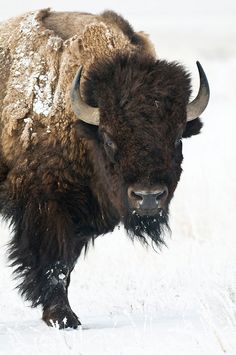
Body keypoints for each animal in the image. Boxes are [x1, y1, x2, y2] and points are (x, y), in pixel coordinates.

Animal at [0, 9, 210, 330]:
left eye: (176, 138)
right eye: (109, 138)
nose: (148, 197)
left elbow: (66, 266)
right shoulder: (46, 206)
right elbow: (54, 264)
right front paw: (63, 318)